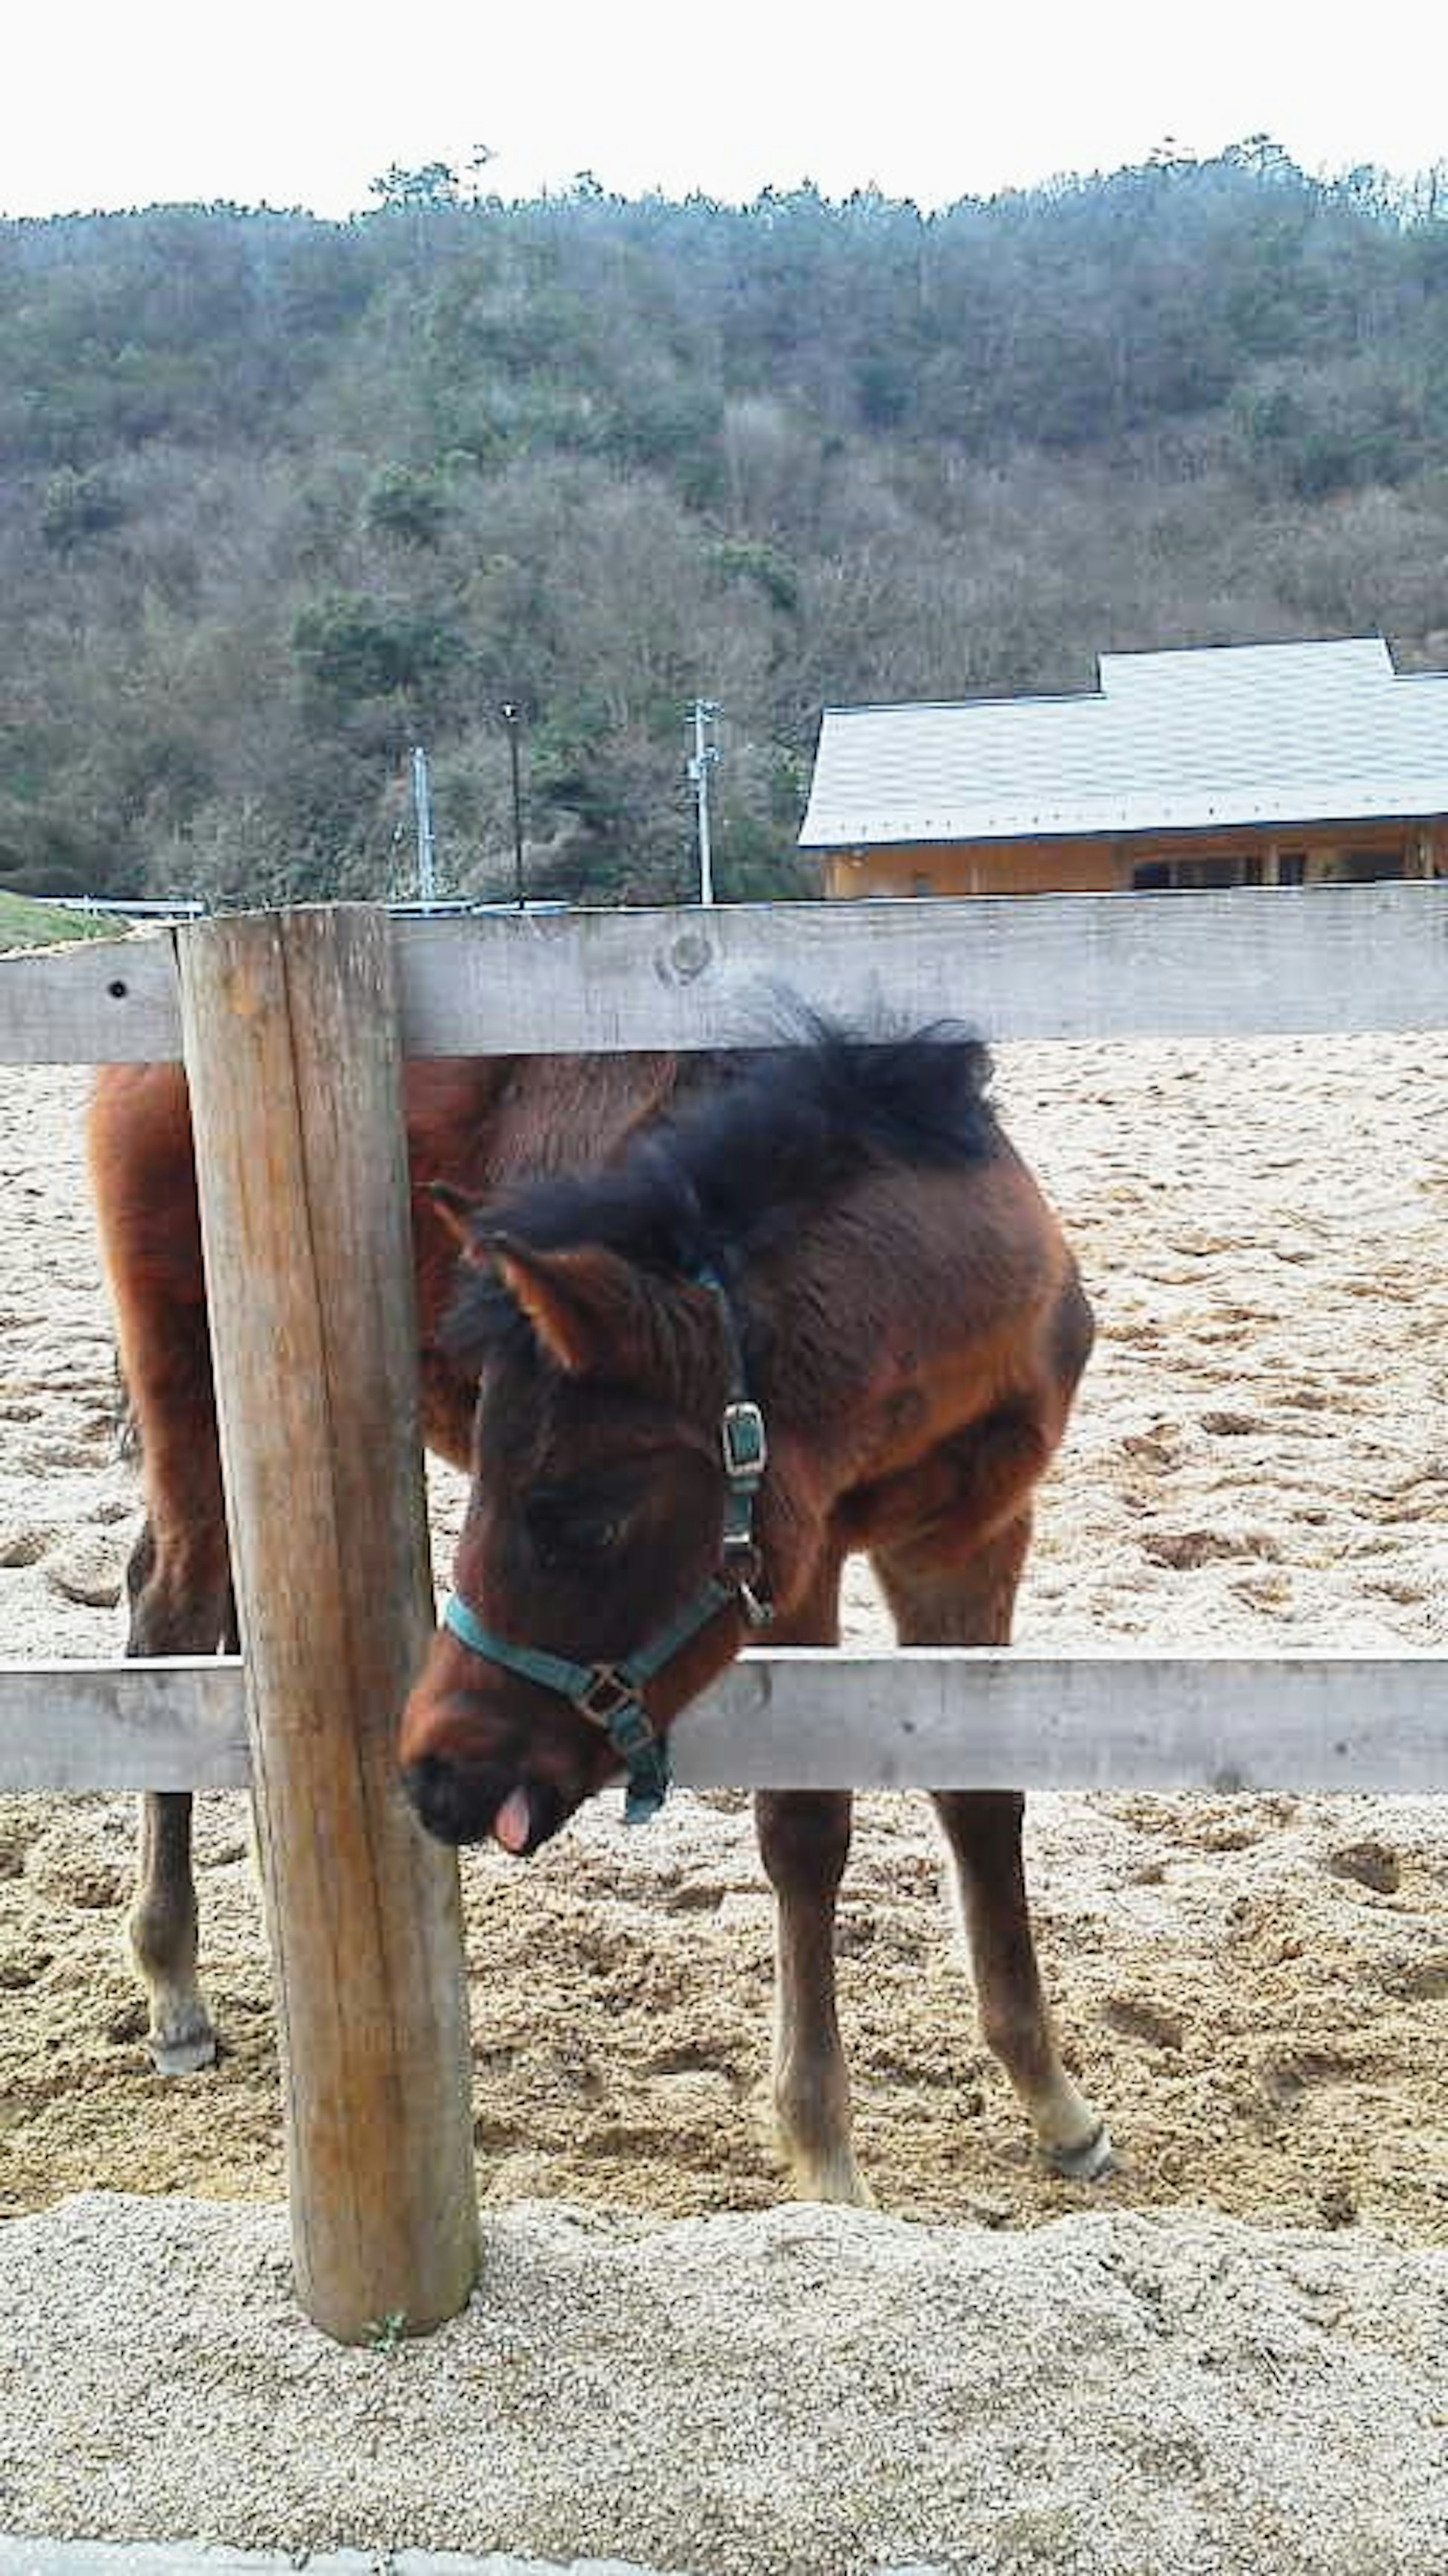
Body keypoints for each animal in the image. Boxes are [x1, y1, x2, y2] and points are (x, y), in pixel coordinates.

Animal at [90, 1015, 1103, 2205]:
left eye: (582, 1519)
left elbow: (982, 1797)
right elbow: (807, 1826)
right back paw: (173, 1979)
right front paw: (825, 2159)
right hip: (190, 1390)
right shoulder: (797, 1571)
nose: (435, 1776)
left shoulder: (971, 1544)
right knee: (170, 1618)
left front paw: (1055, 2103)